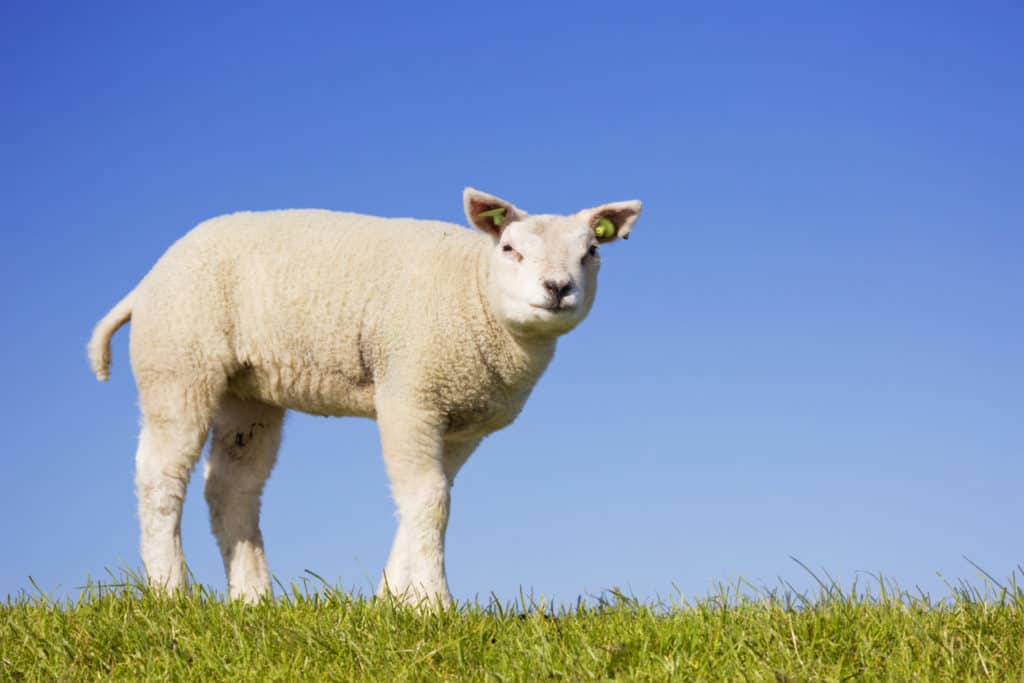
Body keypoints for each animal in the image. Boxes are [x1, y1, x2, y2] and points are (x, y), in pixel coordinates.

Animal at [92, 187, 643, 602]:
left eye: (592, 253)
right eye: (509, 249)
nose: (558, 288)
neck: (474, 292)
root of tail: (145, 284)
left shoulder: (461, 422)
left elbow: (425, 500)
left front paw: (391, 601)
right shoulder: (410, 392)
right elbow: (429, 499)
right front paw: (434, 605)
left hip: (247, 392)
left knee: (232, 486)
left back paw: (252, 598)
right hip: (179, 364)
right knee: (160, 476)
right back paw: (170, 593)